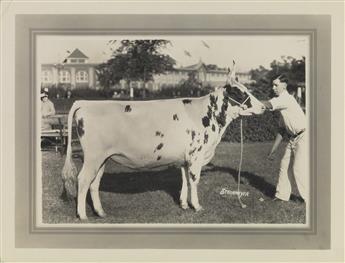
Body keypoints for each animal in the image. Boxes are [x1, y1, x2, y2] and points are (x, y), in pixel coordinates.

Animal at [61, 72, 264, 221]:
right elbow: (194, 181)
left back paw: (101, 212)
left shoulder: (185, 158)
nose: (263, 106)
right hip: (93, 157)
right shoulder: (196, 155)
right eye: (240, 93)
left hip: (102, 158)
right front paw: (197, 206)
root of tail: (85, 103)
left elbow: (184, 180)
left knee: (94, 183)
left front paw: (184, 204)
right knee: (83, 180)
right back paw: (83, 215)